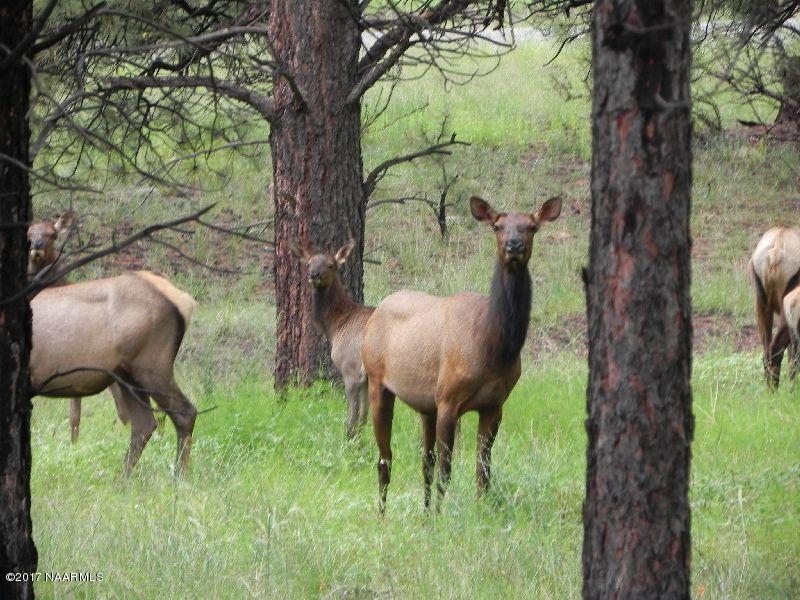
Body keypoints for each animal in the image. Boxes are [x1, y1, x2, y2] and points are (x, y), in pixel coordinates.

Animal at [30, 270, 198, 475]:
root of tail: (185, 301)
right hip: (127, 376)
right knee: (144, 423)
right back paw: (122, 478)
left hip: (151, 368)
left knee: (185, 413)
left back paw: (179, 476)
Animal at [289, 239, 375, 438]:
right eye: (308, 263)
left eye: (331, 264)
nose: (314, 275)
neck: (336, 326)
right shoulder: (366, 378)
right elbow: (363, 419)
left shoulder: (351, 369)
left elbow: (351, 420)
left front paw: (349, 441)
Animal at [361, 195, 562, 513]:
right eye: (497, 226)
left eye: (532, 227)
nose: (514, 246)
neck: (495, 348)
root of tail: (375, 313)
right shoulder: (448, 400)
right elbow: (447, 470)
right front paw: (442, 517)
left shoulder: (495, 405)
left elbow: (483, 470)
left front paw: (477, 511)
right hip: (377, 381)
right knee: (385, 459)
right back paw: (383, 514)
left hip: (425, 405)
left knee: (425, 460)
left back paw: (424, 512)